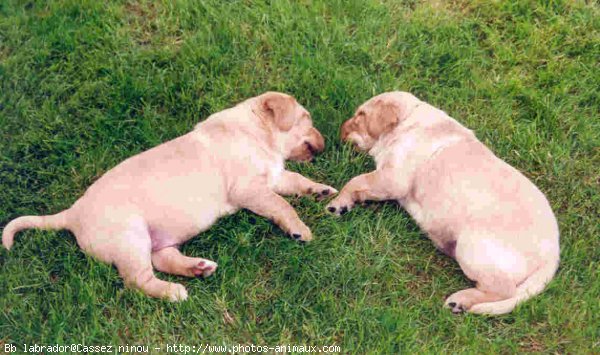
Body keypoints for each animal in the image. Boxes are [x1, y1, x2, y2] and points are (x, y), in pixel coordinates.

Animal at [2, 91, 338, 300]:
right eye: (307, 119)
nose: (325, 144)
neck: (255, 131)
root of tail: (72, 214)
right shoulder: (250, 189)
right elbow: (282, 205)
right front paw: (300, 229)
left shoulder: (274, 176)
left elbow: (297, 180)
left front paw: (321, 190)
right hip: (130, 237)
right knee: (137, 279)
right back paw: (173, 292)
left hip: (156, 239)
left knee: (162, 257)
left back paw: (197, 268)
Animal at [326, 92, 560, 318]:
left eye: (360, 115)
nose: (339, 131)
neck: (407, 122)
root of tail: (553, 254)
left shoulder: (393, 178)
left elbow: (356, 180)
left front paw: (337, 204)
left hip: (472, 246)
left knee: (503, 289)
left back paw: (460, 300)